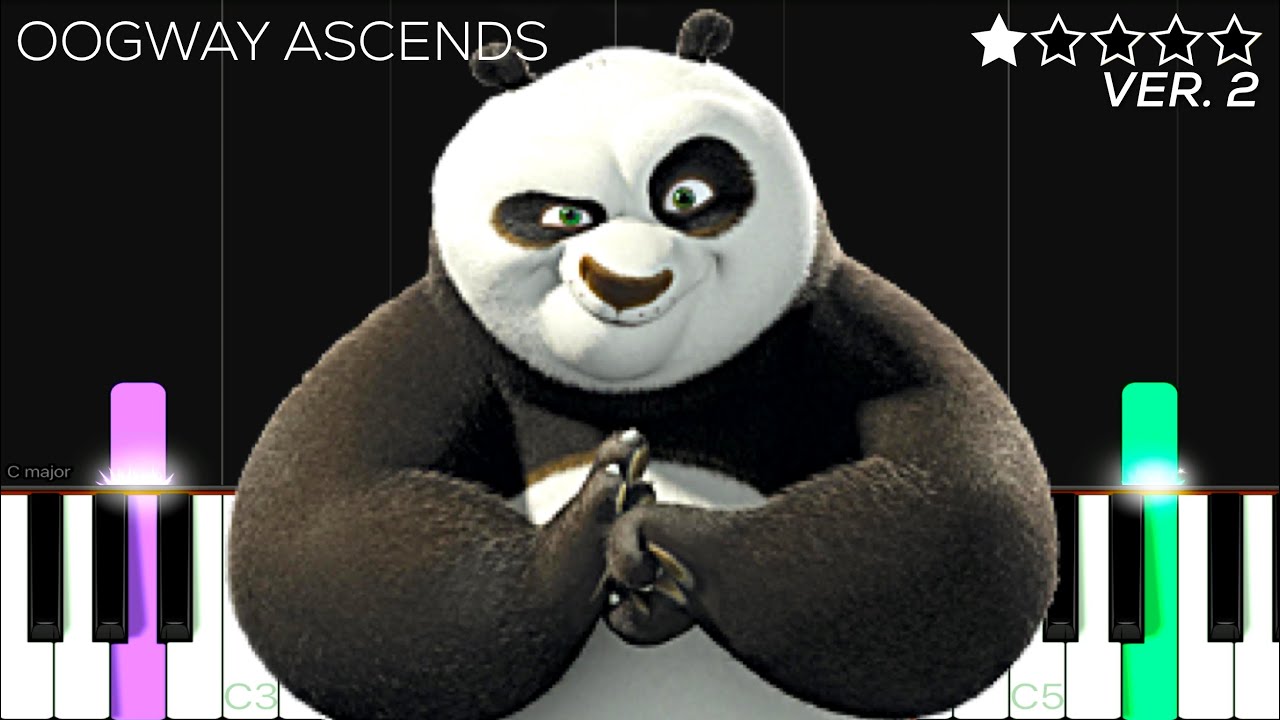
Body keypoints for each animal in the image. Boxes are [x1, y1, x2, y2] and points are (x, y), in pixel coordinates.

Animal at [230, 10, 1057, 720]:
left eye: (685, 196)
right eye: (564, 215)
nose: (626, 284)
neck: (645, 395)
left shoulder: (837, 328)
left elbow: (965, 513)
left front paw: (663, 536)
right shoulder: (438, 338)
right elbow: (320, 533)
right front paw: (584, 531)